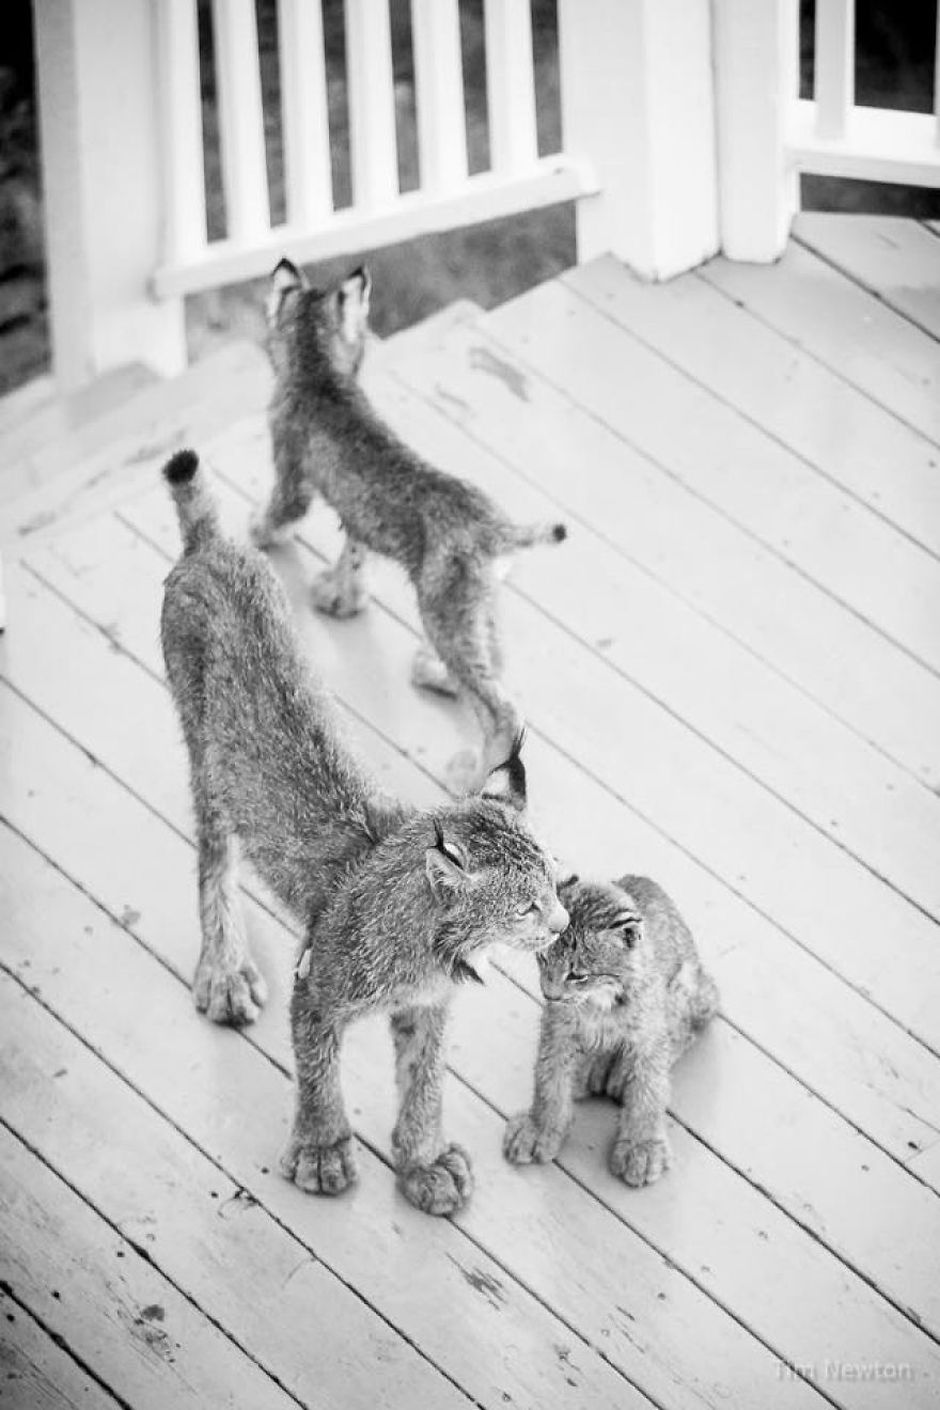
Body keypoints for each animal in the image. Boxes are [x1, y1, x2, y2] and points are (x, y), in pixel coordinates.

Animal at [160, 451, 566, 1212]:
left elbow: (424, 1083)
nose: (559, 927)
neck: (437, 944)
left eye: (559, 886)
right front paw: (323, 1151)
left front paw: (423, 1160)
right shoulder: (317, 989)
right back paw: (224, 969)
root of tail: (211, 548)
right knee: (213, 855)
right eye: (527, 906)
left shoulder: (428, 1007)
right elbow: (320, 1074)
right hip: (207, 753)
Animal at [249, 259, 566, 800]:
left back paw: (471, 775)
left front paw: (256, 533)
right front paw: (343, 598)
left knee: (500, 708)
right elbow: (353, 553)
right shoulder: (357, 514)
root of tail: (499, 526)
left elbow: (278, 512)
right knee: (493, 662)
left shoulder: (292, 476)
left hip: (441, 609)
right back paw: (441, 679)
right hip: (474, 603)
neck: (319, 367)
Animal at [504, 874, 715, 1184]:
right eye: (542, 958)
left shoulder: (650, 1036)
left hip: (689, 986)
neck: (599, 1001)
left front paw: (642, 1146)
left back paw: (619, 1071)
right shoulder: (557, 1028)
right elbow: (549, 1080)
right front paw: (539, 1128)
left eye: (578, 975)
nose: (549, 995)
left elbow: (650, 1088)